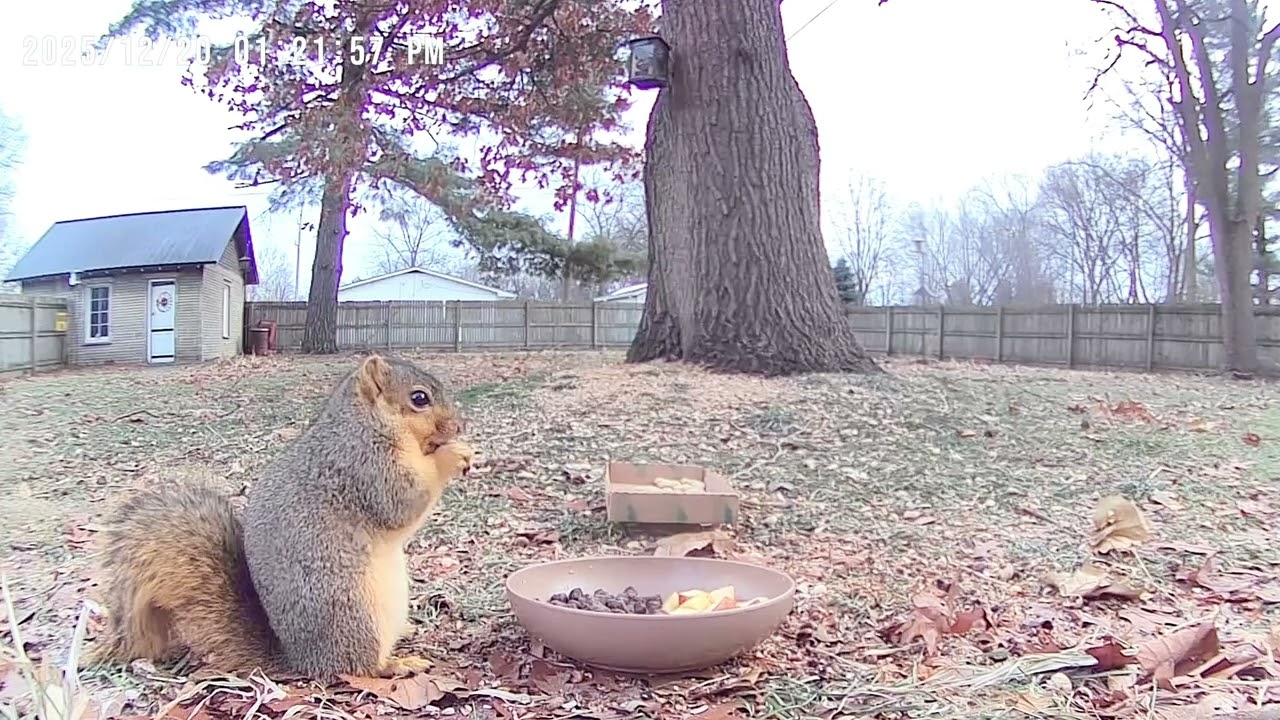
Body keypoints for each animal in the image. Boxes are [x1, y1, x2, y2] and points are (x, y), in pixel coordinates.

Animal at [89, 354, 475, 681]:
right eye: (419, 398)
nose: (459, 426)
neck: (368, 424)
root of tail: (299, 660)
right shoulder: (364, 467)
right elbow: (402, 502)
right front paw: (451, 457)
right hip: (355, 614)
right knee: (360, 667)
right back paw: (398, 663)